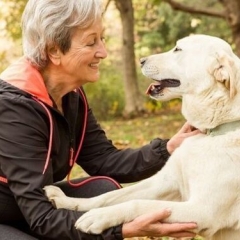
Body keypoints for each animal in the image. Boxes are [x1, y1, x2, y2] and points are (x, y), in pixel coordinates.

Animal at [43, 34, 240, 239]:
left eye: (178, 49)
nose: (141, 60)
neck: (212, 131)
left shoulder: (201, 210)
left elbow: (137, 204)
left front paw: (98, 216)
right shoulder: (164, 183)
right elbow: (106, 197)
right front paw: (68, 201)